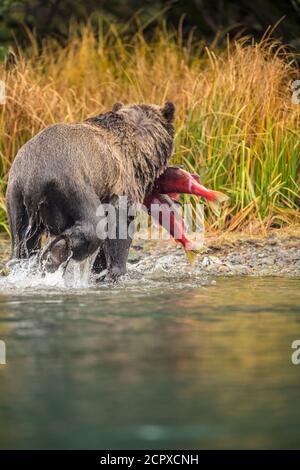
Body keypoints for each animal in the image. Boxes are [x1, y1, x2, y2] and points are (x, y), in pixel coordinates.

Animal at [6, 102, 176, 280]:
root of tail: (34, 178)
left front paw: (100, 270)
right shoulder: (121, 186)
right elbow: (120, 227)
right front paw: (117, 272)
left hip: (17, 195)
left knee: (21, 241)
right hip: (74, 185)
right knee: (94, 226)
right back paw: (56, 253)